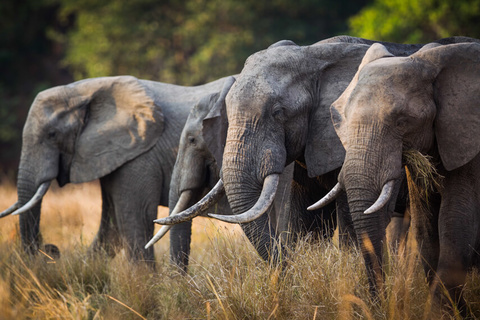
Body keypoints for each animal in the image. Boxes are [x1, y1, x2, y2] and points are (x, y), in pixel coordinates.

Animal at [0, 75, 232, 264]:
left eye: (52, 135)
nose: (52, 249)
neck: (84, 91)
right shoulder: (116, 157)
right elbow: (112, 227)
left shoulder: (139, 156)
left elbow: (134, 218)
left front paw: (145, 284)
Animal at [316, 42, 480, 316]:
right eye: (344, 121)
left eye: (403, 122)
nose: (376, 306)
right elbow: (426, 228)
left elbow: (456, 222)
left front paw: (439, 314)